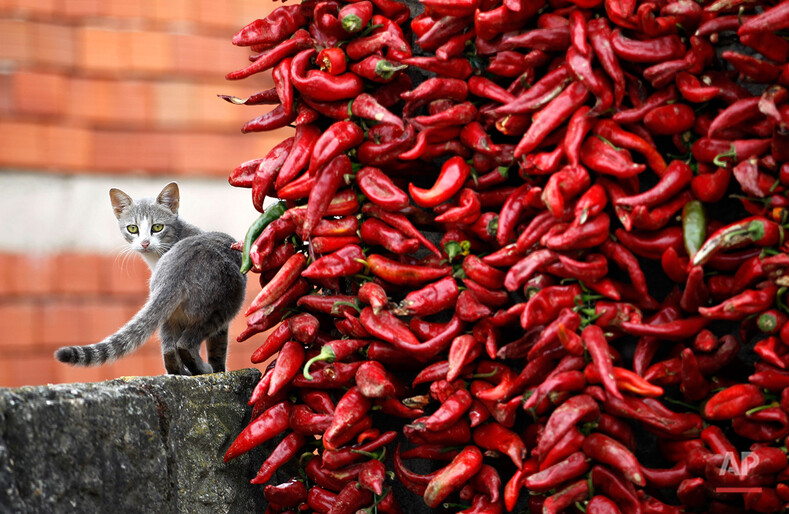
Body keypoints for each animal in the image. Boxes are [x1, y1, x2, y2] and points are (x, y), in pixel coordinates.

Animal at [54, 182, 246, 374]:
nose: (145, 243)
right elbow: (218, 349)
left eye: (157, 227)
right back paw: (203, 369)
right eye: (133, 228)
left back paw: (180, 372)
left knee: (169, 350)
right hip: (219, 308)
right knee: (186, 343)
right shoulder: (221, 324)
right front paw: (220, 370)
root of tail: (176, 272)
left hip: (170, 316)